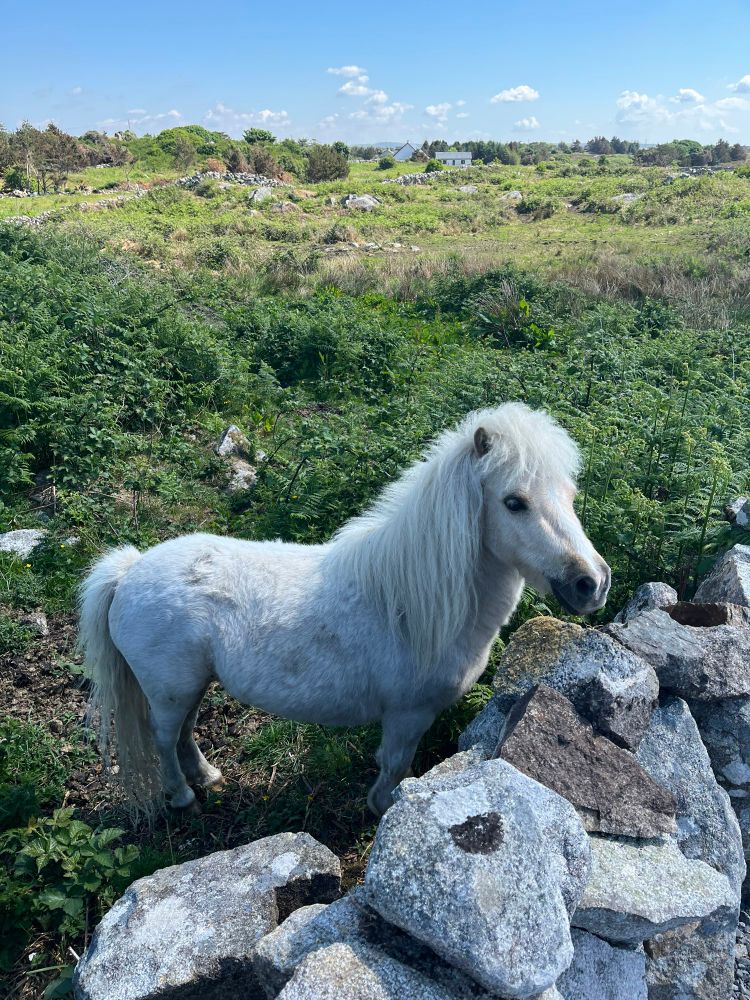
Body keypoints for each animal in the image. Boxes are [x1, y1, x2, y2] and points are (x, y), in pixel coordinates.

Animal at [79, 402, 610, 818]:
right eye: (514, 502)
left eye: (570, 495)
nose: (593, 583)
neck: (408, 602)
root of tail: (129, 570)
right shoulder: (408, 715)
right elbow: (394, 767)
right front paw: (384, 808)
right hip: (169, 690)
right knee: (164, 738)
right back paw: (183, 796)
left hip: (192, 685)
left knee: (185, 733)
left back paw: (207, 776)